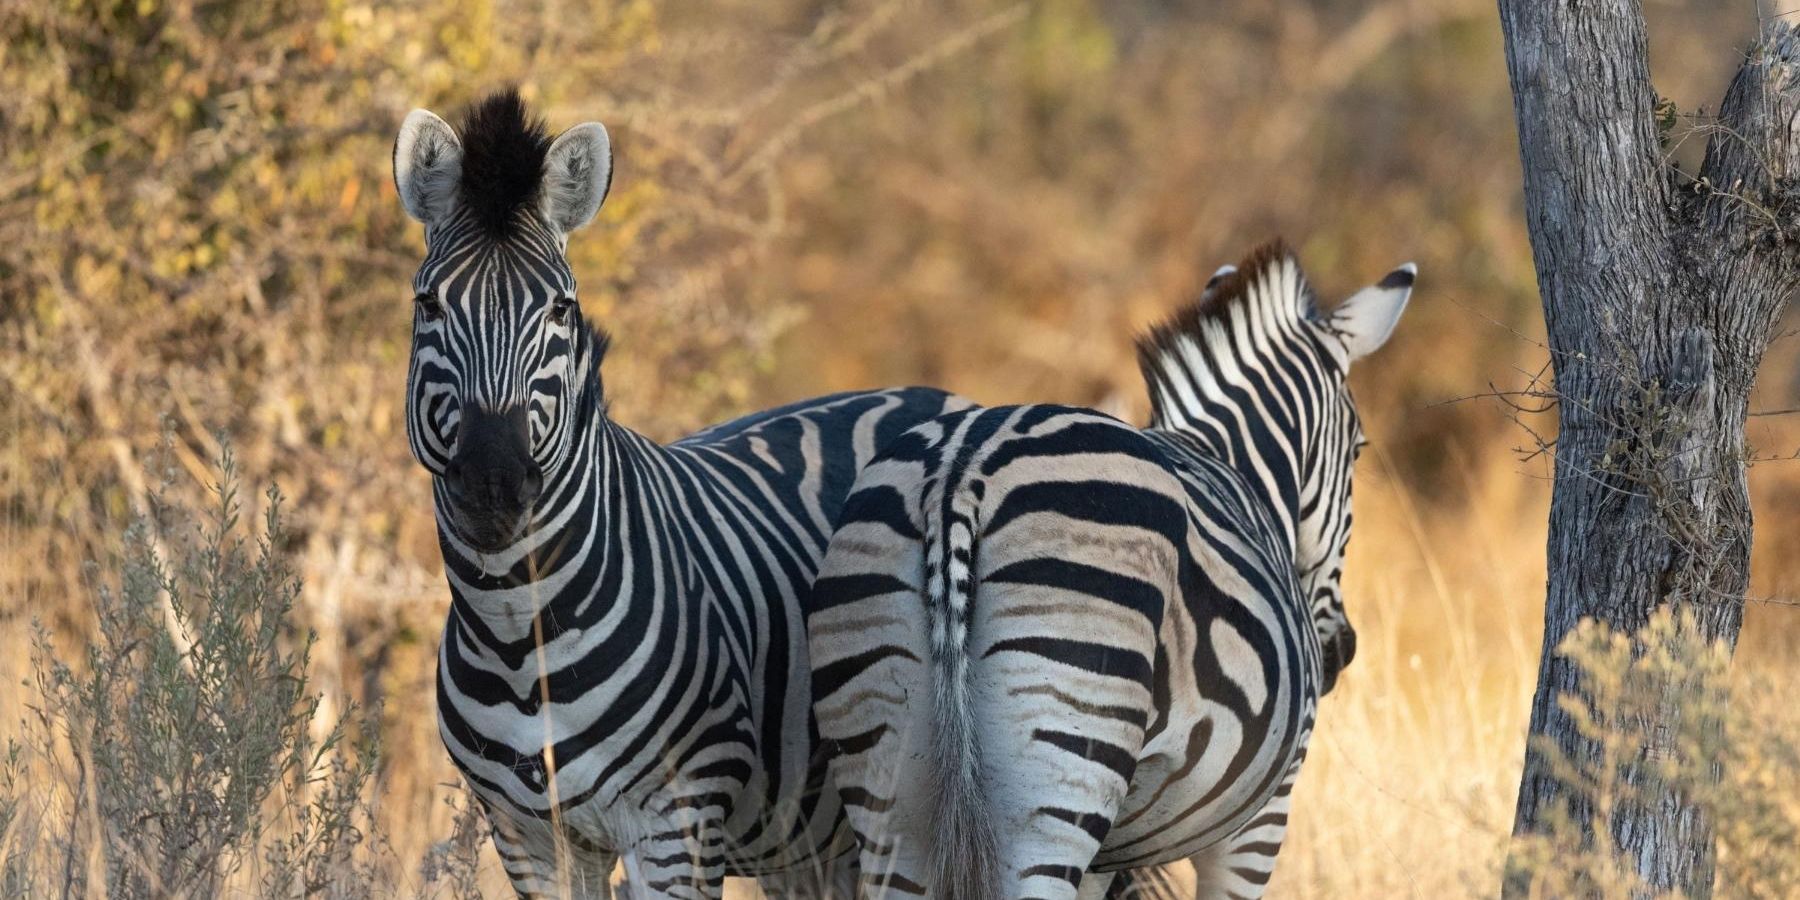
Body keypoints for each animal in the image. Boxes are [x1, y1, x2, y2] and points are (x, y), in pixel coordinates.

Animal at [391, 89, 972, 898]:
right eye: (429, 305)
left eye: (561, 311)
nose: (492, 484)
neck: (515, 631)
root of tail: (933, 396)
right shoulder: (528, 838)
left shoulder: (677, 821)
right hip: (817, 841)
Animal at [808, 241, 1413, 899]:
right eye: (1359, 448)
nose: (1340, 652)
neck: (1236, 466)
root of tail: (958, 475)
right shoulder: (1261, 818)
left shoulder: (1106, 854)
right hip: (1057, 779)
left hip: (890, 786)